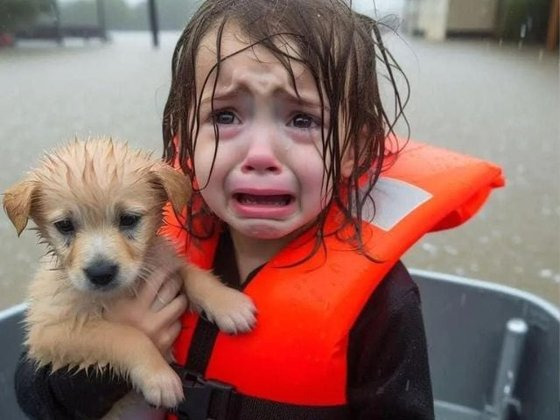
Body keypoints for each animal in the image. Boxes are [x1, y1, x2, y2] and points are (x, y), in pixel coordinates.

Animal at [1, 139, 256, 414]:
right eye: (65, 225)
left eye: (129, 220)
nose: (101, 273)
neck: (119, 292)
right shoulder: (50, 331)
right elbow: (125, 335)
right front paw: (160, 378)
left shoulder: (161, 261)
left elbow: (193, 273)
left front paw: (229, 304)